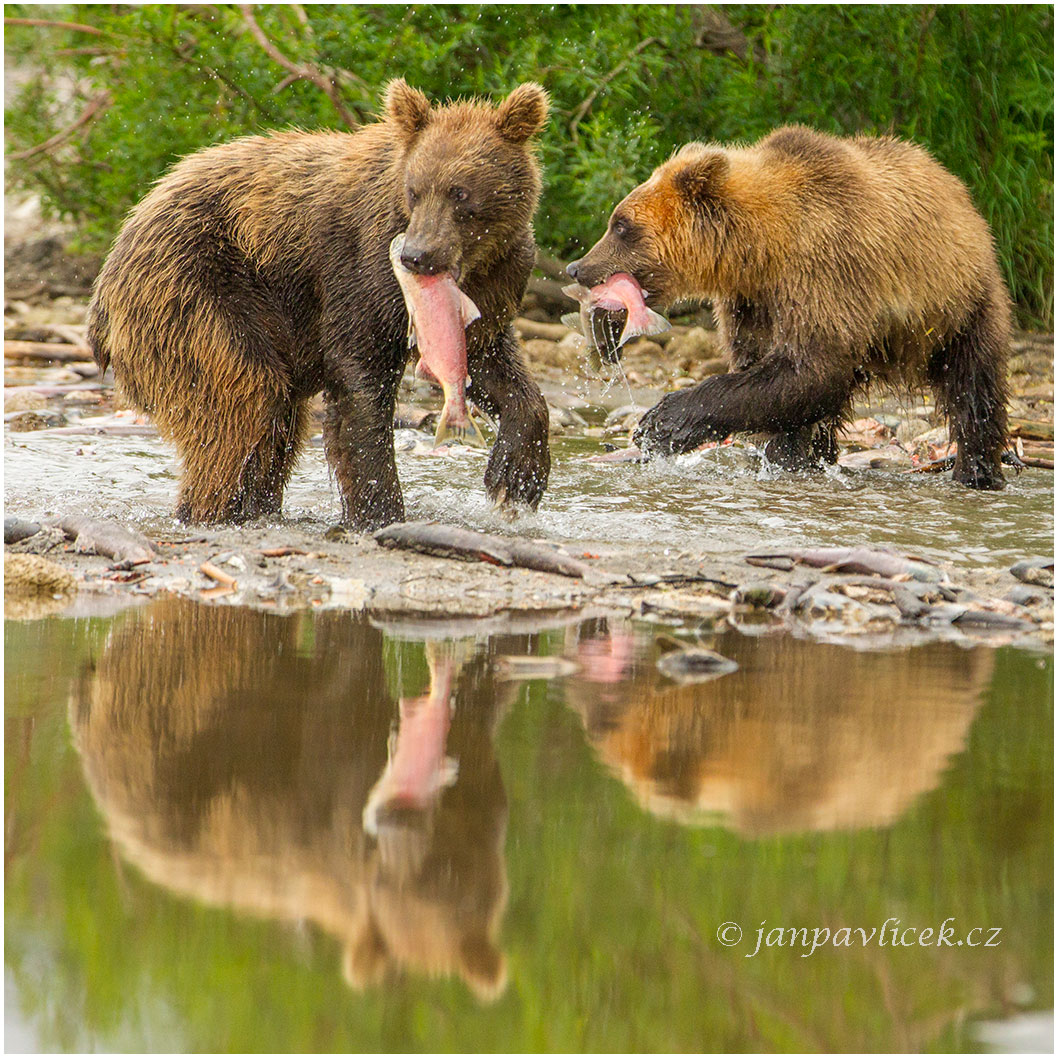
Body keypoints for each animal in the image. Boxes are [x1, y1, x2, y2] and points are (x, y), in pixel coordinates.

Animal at [88, 81, 554, 529]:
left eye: (460, 193)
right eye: (415, 190)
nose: (416, 256)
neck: (472, 265)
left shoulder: (497, 282)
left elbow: (492, 364)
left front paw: (515, 478)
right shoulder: (360, 268)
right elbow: (359, 380)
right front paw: (379, 510)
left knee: (277, 427)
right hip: (197, 289)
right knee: (243, 403)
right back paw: (211, 509)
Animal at [567, 125, 1011, 488]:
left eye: (621, 225)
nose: (578, 267)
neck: (763, 247)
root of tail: (957, 188)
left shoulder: (825, 269)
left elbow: (809, 369)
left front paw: (661, 422)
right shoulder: (753, 300)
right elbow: (772, 375)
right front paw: (786, 456)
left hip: (959, 303)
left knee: (974, 387)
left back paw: (976, 471)